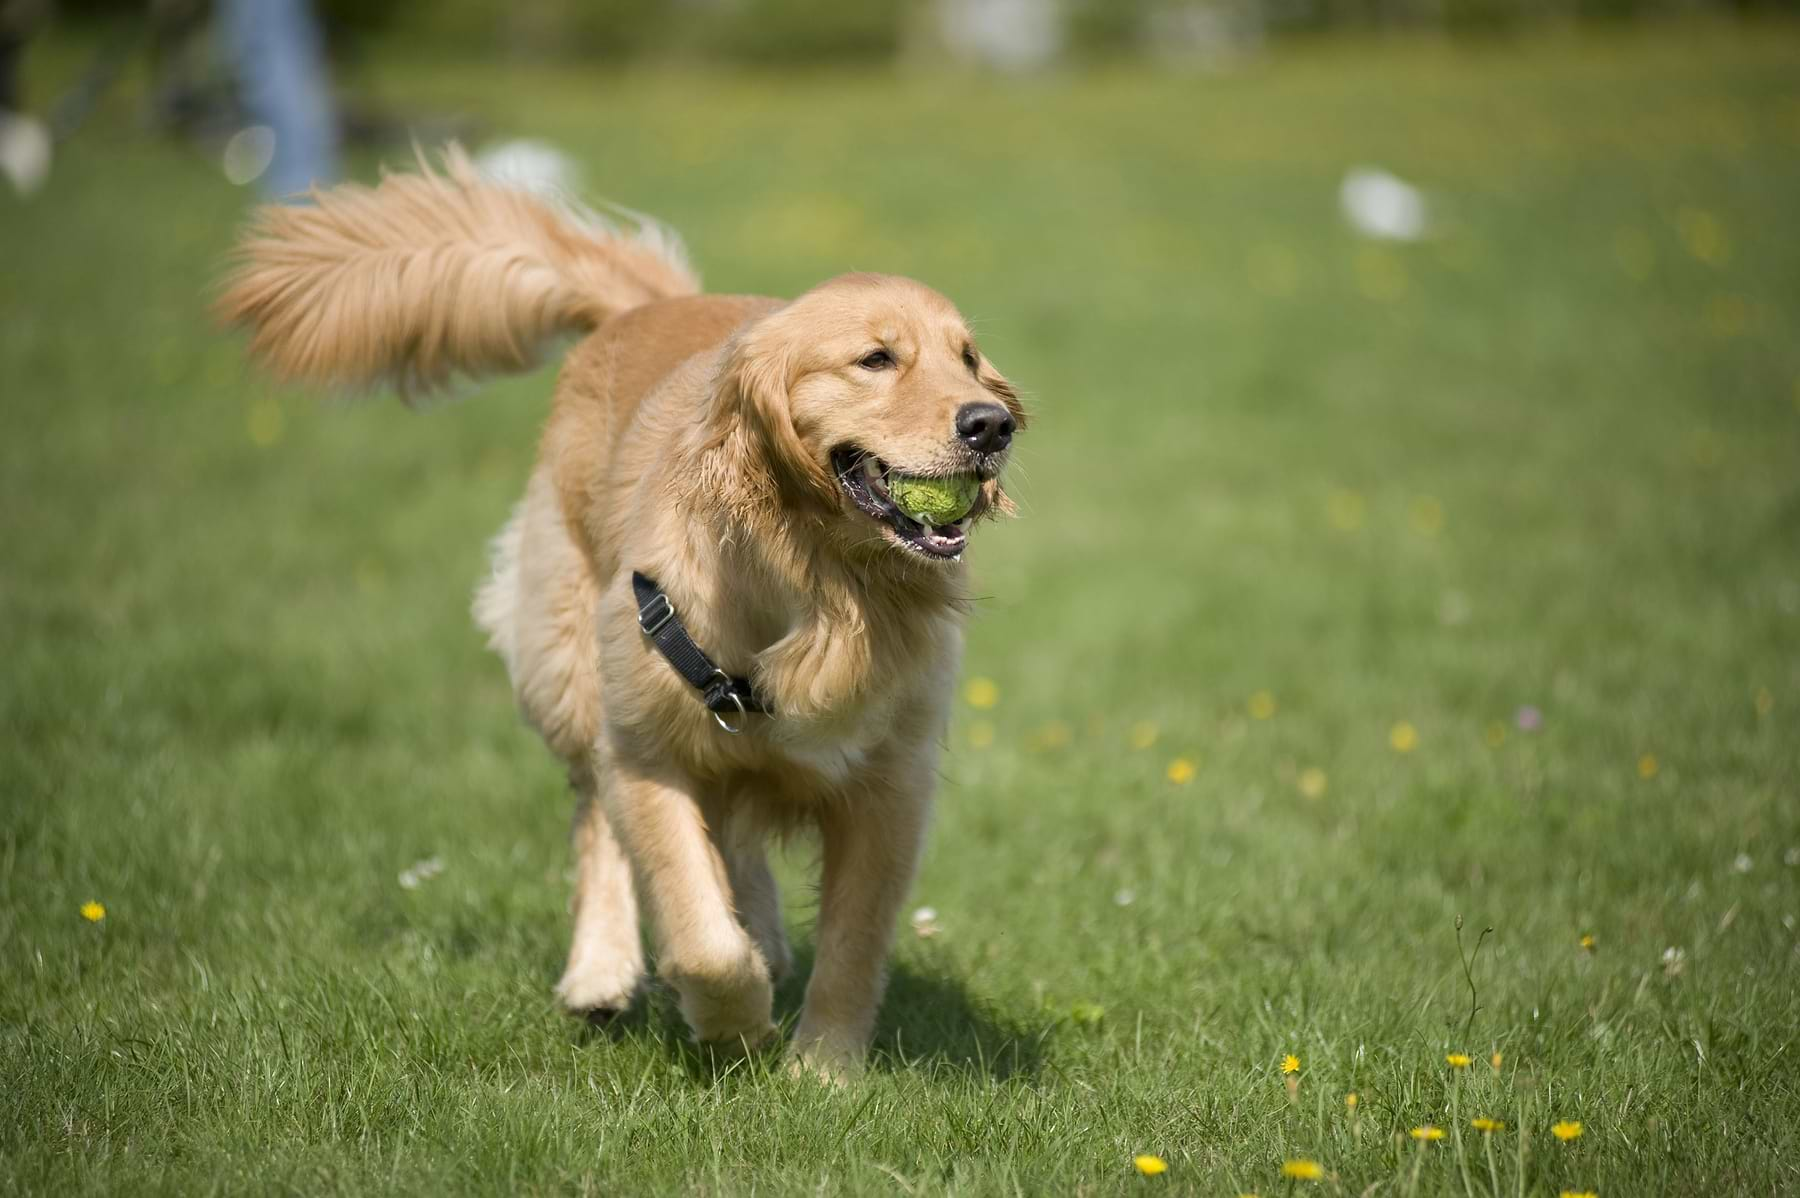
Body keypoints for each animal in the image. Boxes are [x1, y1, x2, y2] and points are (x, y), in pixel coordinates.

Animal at [217, 146, 1022, 1072]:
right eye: (876, 359)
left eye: (968, 358)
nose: (993, 424)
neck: (817, 583)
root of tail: (643, 305)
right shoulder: (648, 747)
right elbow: (695, 926)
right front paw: (733, 1024)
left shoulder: (892, 782)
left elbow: (853, 944)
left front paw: (823, 1071)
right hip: (568, 664)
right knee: (595, 814)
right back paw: (602, 972)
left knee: (734, 836)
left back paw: (764, 935)